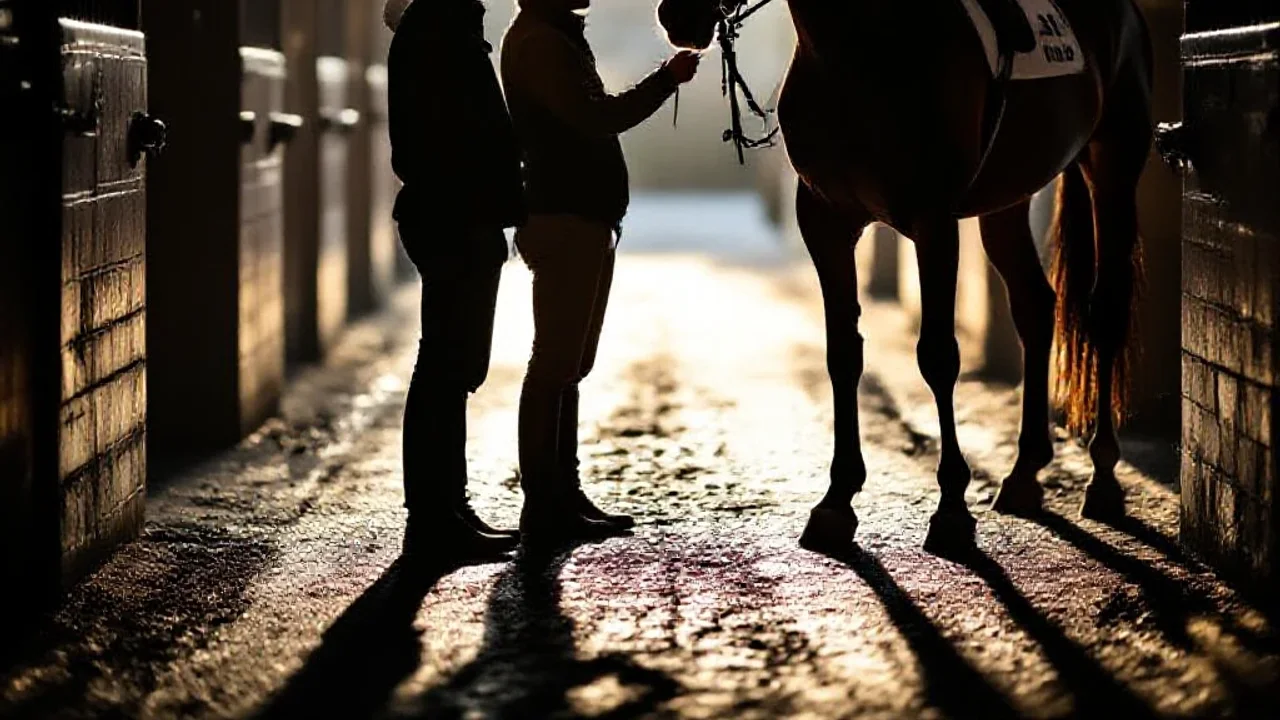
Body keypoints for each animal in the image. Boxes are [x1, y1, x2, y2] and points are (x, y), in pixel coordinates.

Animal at [657, 0, 1154, 554]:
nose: (676, 16)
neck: (858, 49)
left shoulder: (934, 222)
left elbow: (938, 356)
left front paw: (952, 508)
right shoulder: (824, 223)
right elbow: (842, 354)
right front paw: (837, 500)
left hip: (1113, 166)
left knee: (1105, 311)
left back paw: (1103, 475)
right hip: (1007, 202)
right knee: (1035, 307)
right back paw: (1025, 472)